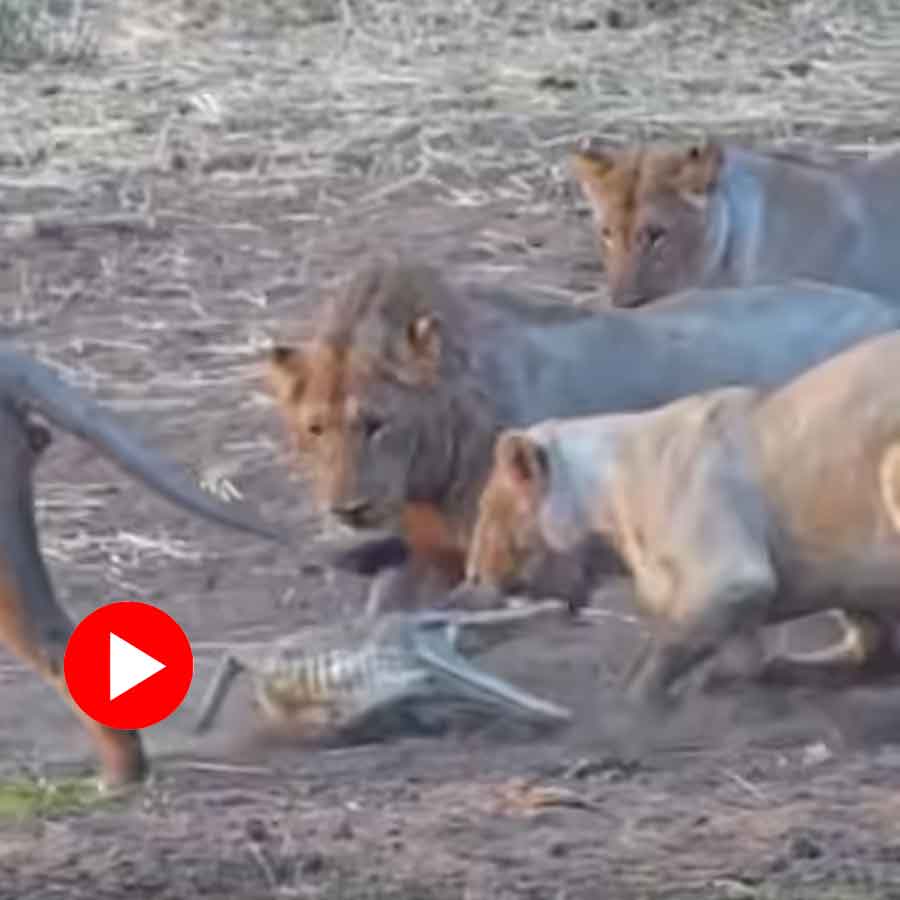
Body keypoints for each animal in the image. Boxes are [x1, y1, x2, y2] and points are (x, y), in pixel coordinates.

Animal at [266, 254, 900, 613]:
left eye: (377, 425)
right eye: (315, 429)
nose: (347, 508)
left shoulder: (547, 565)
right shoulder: (435, 551)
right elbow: (386, 599)